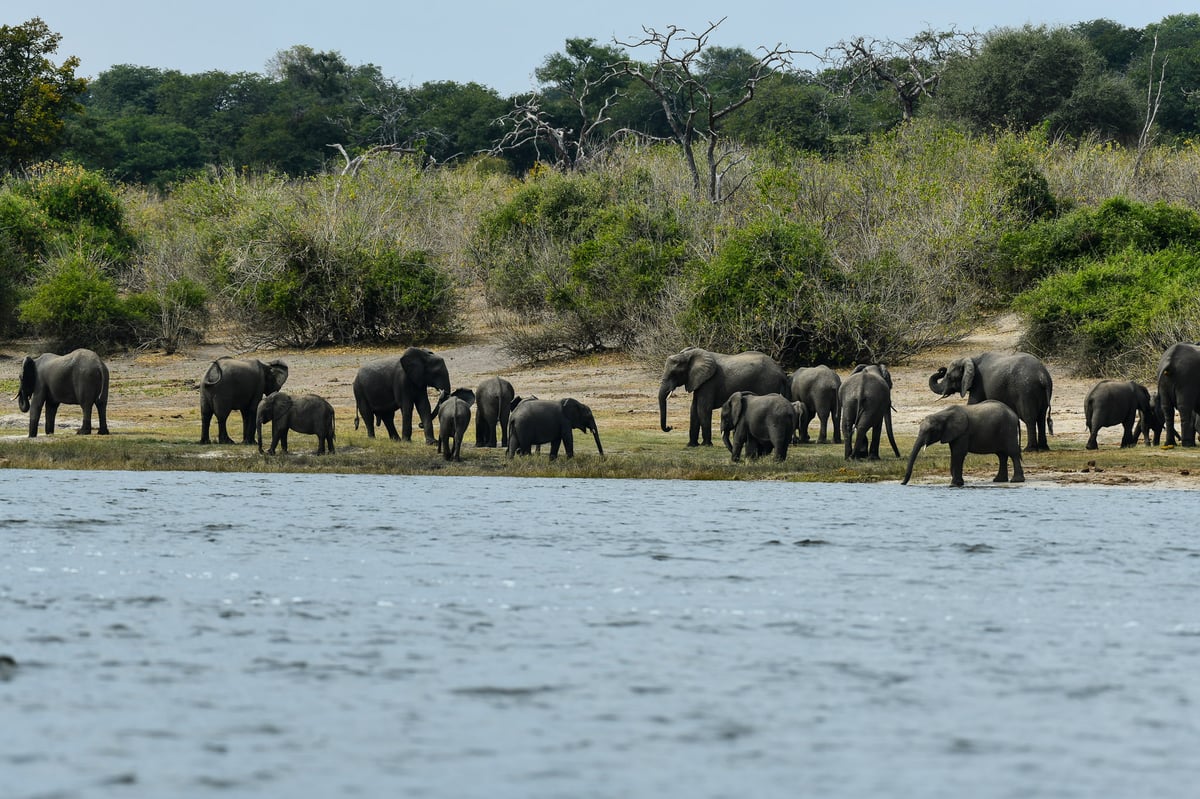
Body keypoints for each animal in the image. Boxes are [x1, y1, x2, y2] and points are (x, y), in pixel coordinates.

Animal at [657, 345, 787, 443]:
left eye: (674, 373)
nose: (670, 427)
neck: (689, 354)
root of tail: (781, 371)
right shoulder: (699, 380)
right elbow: (693, 409)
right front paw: (691, 445)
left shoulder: (710, 381)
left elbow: (703, 408)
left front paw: (706, 445)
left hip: (767, 383)